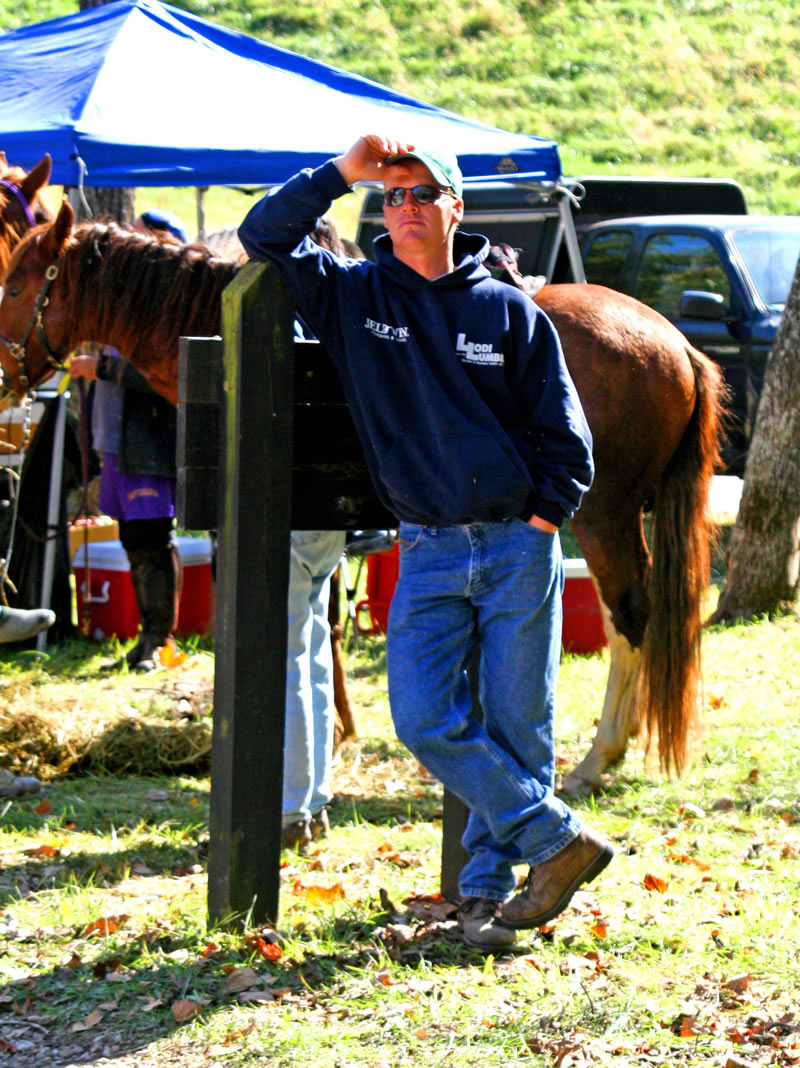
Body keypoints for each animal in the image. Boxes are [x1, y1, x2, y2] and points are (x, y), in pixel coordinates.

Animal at [0, 200, 725, 794]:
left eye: (13, 281)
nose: (5, 379)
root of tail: (676, 345)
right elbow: (325, 626)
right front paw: (339, 729)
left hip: (604, 517)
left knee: (632, 614)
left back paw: (599, 757)